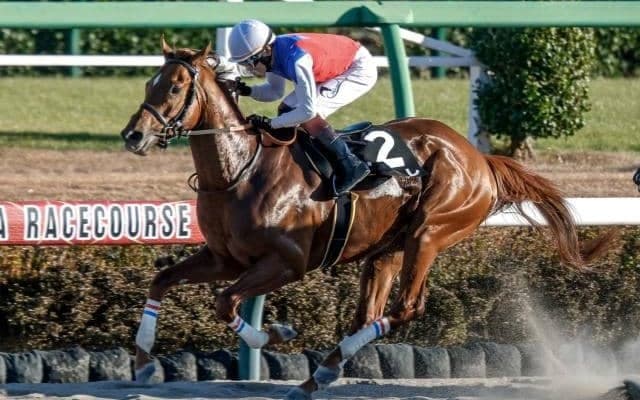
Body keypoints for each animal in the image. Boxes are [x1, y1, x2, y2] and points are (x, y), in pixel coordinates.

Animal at [120, 40, 613, 399]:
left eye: (176, 87)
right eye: (148, 82)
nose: (133, 135)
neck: (241, 169)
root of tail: (480, 159)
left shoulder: (287, 262)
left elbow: (226, 303)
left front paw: (275, 332)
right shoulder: (226, 259)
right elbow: (162, 282)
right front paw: (143, 363)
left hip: (430, 232)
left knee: (407, 306)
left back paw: (319, 373)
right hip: (386, 249)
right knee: (368, 315)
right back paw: (318, 376)